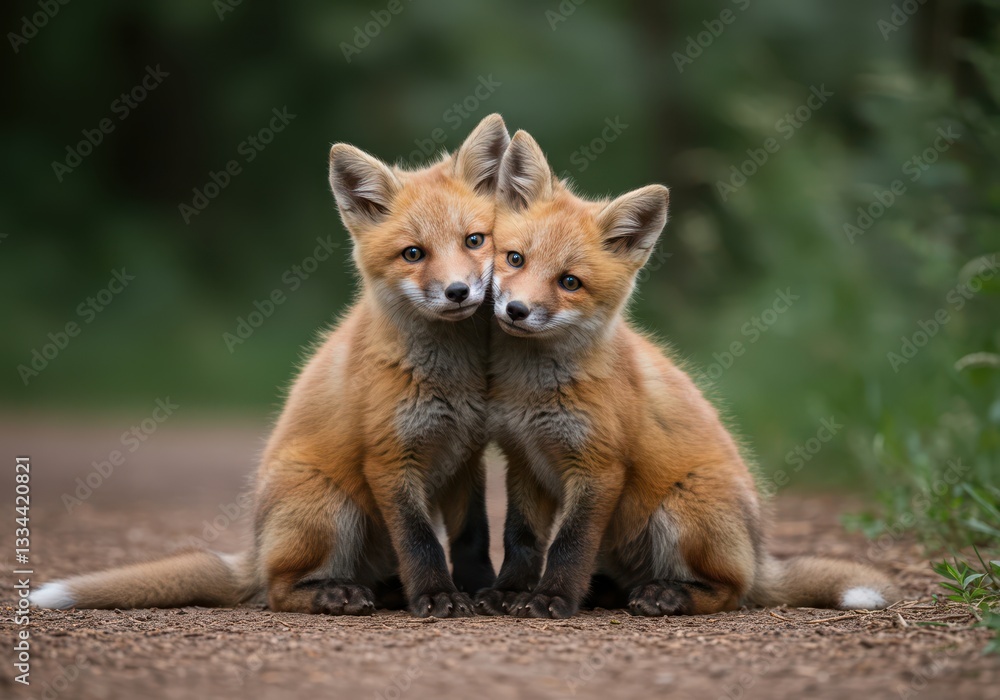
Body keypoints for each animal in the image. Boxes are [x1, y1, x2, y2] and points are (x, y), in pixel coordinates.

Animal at [31, 113, 512, 618]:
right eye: (413, 253)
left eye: (474, 240)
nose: (458, 292)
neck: (450, 376)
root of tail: (256, 551)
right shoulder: (390, 459)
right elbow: (420, 542)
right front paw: (437, 595)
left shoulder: (466, 457)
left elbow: (472, 539)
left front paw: (482, 589)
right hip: (333, 508)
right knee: (278, 592)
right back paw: (335, 593)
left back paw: (389, 591)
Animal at [474, 130, 896, 619]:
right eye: (515, 259)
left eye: (570, 282)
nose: (516, 310)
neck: (535, 389)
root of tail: (758, 553)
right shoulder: (524, 460)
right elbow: (520, 539)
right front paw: (508, 592)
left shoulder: (599, 468)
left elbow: (570, 545)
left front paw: (552, 598)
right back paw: (608, 592)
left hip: (681, 509)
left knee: (730, 592)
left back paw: (669, 594)